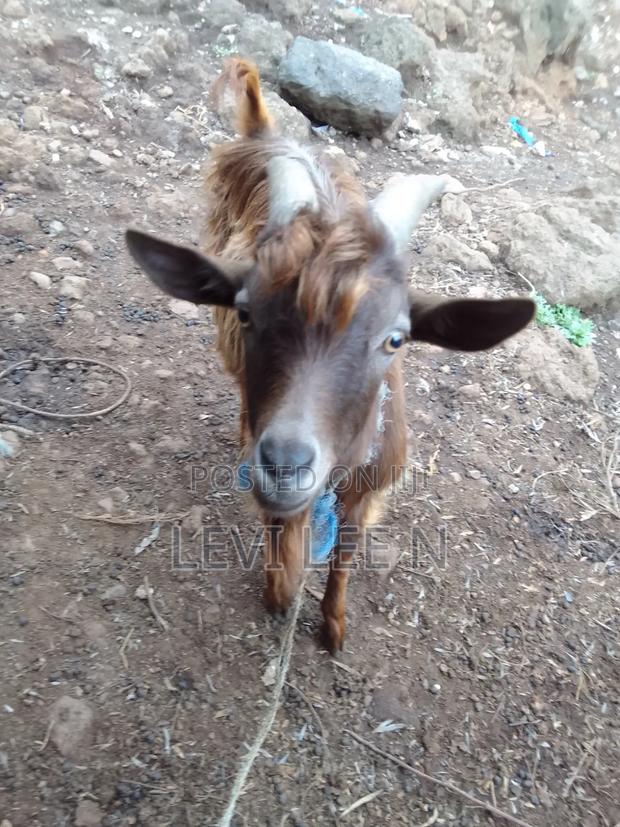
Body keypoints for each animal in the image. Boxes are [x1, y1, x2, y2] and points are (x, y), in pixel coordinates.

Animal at [126, 60, 535, 654]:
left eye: (395, 339)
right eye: (245, 311)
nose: (285, 465)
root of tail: (263, 130)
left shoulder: (366, 488)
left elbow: (344, 555)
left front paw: (333, 625)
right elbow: (283, 540)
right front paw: (279, 595)